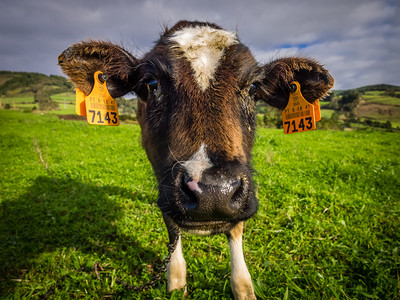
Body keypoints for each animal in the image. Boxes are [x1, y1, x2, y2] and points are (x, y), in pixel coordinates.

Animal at [58, 19, 334, 298]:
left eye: (253, 87)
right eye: (151, 82)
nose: (213, 193)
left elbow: (236, 228)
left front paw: (243, 287)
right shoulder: (164, 180)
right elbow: (171, 225)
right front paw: (176, 281)